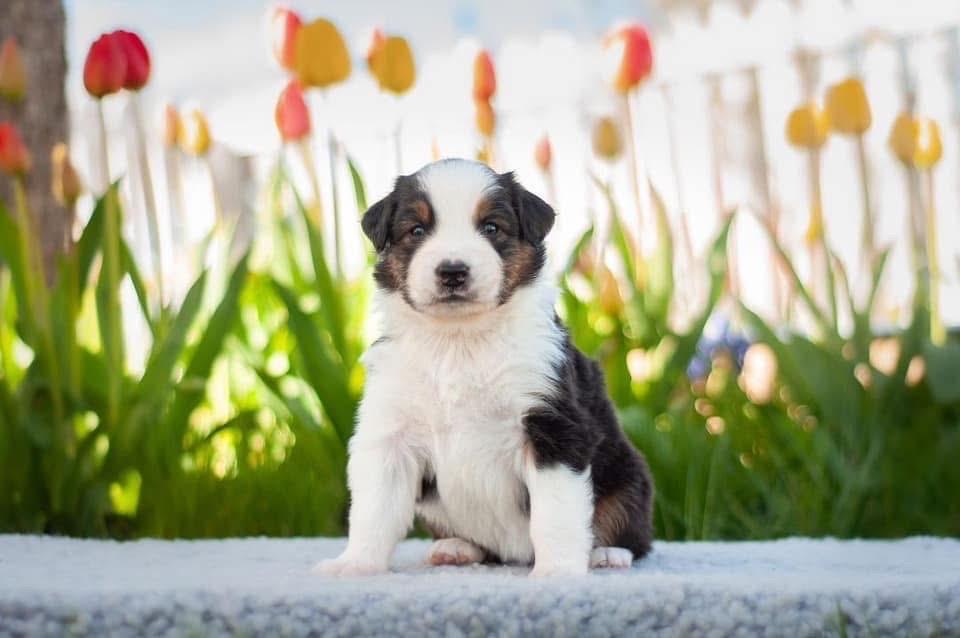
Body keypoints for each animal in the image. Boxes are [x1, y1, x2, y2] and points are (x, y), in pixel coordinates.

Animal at [316, 158, 652, 576]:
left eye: (491, 227)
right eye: (416, 230)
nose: (452, 271)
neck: (459, 342)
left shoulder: (554, 427)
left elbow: (556, 515)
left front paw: (556, 572)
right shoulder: (390, 433)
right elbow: (374, 510)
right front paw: (355, 564)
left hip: (628, 475)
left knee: (630, 528)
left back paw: (608, 554)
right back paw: (457, 548)